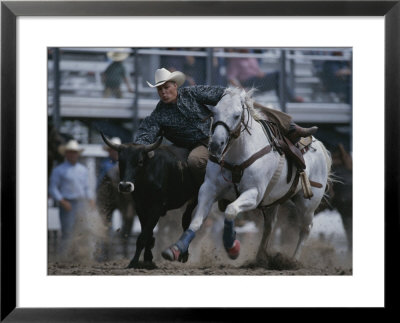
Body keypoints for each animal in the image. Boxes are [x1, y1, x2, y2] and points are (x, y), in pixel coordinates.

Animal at [161, 88, 332, 264]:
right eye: (214, 112)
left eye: (237, 115)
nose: (215, 145)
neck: (237, 155)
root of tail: (319, 146)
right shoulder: (208, 189)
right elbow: (196, 221)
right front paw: (175, 249)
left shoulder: (253, 194)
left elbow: (230, 210)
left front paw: (232, 247)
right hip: (273, 200)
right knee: (270, 225)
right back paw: (260, 258)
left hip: (308, 203)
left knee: (305, 229)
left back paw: (292, 261)